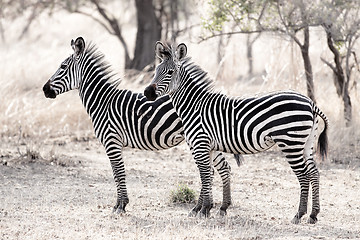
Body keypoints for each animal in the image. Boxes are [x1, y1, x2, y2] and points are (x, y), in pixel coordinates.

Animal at [43, 37, 236, 216]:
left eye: (62, 67)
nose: (45, 89)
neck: (103, 102)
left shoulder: (112, 141)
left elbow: (118, 172)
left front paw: (120, 206)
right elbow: (118, 173)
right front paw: (121, 204)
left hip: (199, 138)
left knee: (211, 169)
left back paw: (204, 208)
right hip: (207, 139)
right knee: (220, 167)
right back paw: (216, 207)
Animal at [143, 42, 330, 224]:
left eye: (170, 72)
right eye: (156, 71)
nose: (147, 93)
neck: (194, 106)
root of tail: (310, 102)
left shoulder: (200, 144)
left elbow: (205, 175)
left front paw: (203, 210)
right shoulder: (209, 147)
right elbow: (209, 175)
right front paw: (206, 209)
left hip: (291, 142)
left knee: (304, 176)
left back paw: (299, 214)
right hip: (306, 143)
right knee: (314, 173)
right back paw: (313, 215)